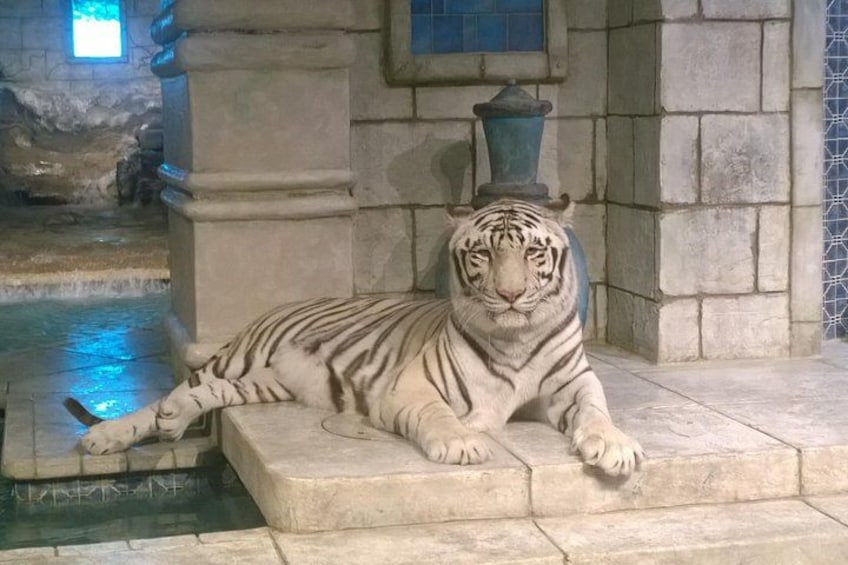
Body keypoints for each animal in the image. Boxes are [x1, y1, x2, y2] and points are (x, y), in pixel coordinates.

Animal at [65, 197, 644, 476]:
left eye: (532, 252)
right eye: (482, 254)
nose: (509, 295)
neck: (515, 338)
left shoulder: (574, 384)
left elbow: (597, 411)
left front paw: (615, 447)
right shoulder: (412, 388)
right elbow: (439, 416)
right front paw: (461, 443)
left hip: (263, 382)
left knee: (205, 395)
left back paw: (172, 421)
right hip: (242, 358)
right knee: (175, 390)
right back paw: (113, 433)